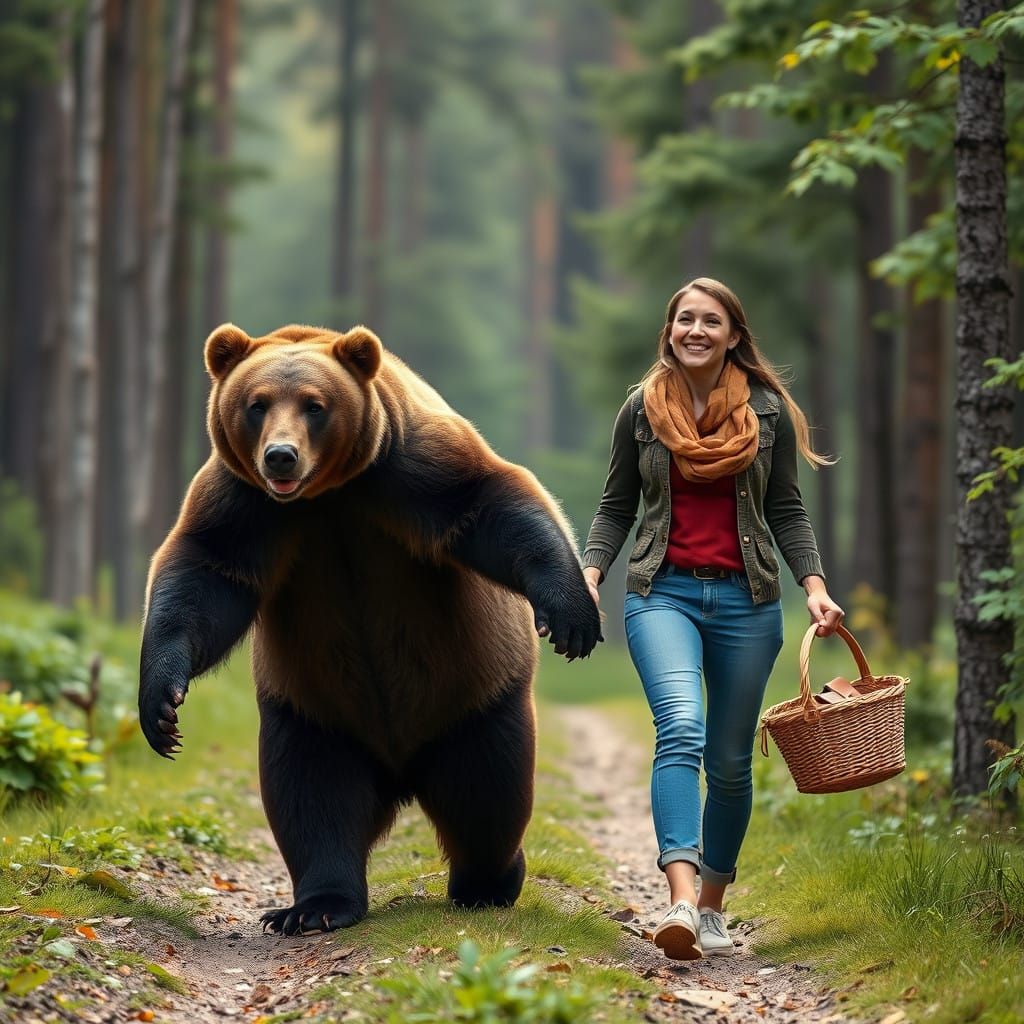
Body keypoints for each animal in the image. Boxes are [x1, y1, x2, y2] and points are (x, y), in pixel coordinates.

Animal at [138, 322, 602, 935]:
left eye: (314, 405)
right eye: (257, 404)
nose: (280, 457)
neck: (327, 496)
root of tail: (400, 773)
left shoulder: (410, 471)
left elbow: (490, 502)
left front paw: (572, 615)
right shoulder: (243, 505)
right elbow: (203, 575)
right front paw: (162, 710)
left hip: (472, 692)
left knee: (486, 793)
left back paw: (489, 882)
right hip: (313, 708)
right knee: (313, 796)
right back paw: (314, 906)